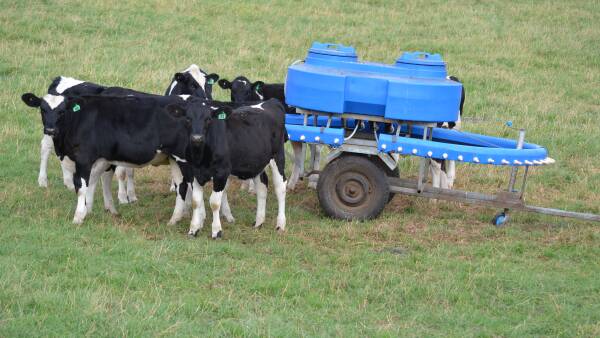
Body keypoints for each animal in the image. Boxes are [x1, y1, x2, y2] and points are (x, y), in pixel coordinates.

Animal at [180, 99, 288, 239]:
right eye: (188, 119)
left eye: (208, 119)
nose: (196, 138)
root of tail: (271, 101)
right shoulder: (194, 173)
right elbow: (196, 201)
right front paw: (193, 229)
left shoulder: (221, 173)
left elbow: (214, 202)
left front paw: (216, 231)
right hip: (257, 162)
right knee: (262, 187)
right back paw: (258, 222)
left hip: (278, 156)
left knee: (280, 187)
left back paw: (280, 225)